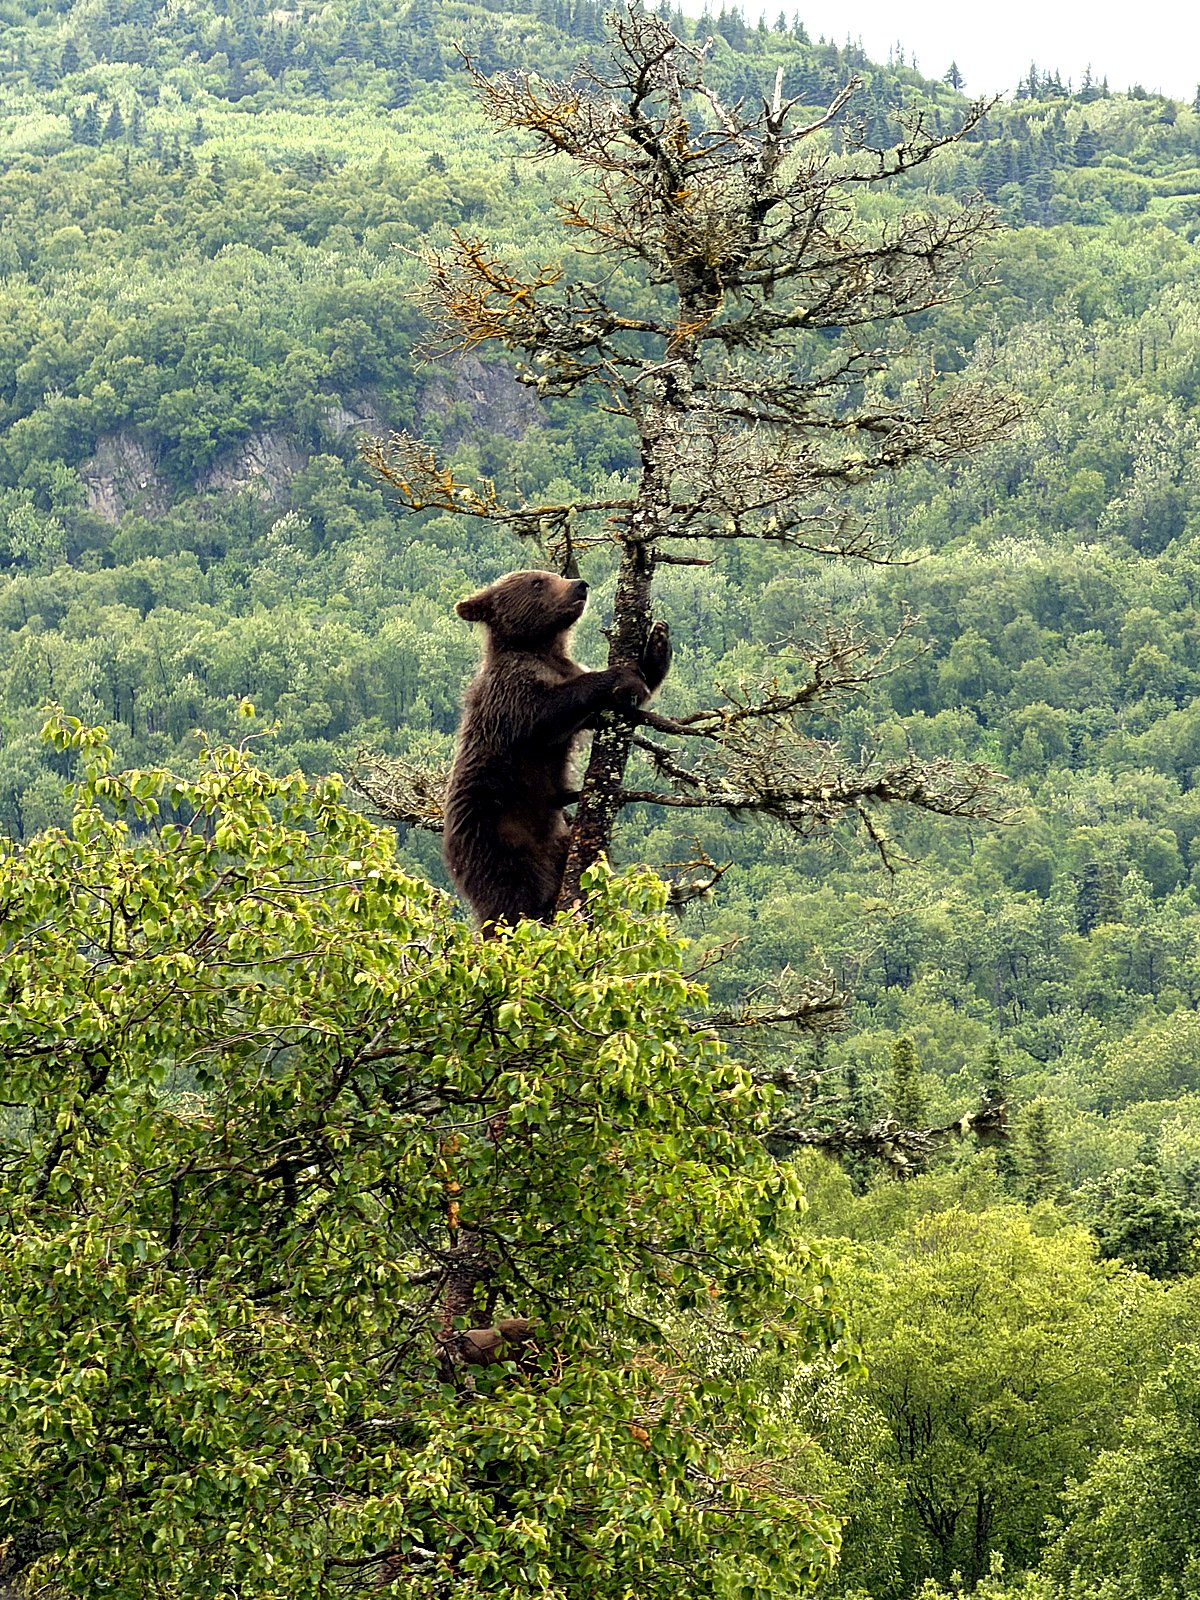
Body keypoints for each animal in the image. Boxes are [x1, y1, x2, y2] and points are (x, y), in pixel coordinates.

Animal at [443, 569, 671, 928]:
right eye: (538, 582)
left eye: (554, 575)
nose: (579, 585)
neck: (542, 650)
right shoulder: (510, 692)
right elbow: (548, 712)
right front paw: (619, 674)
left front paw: (657, 643)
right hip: (497, 841)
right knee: (512, 903)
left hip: (557, 840)